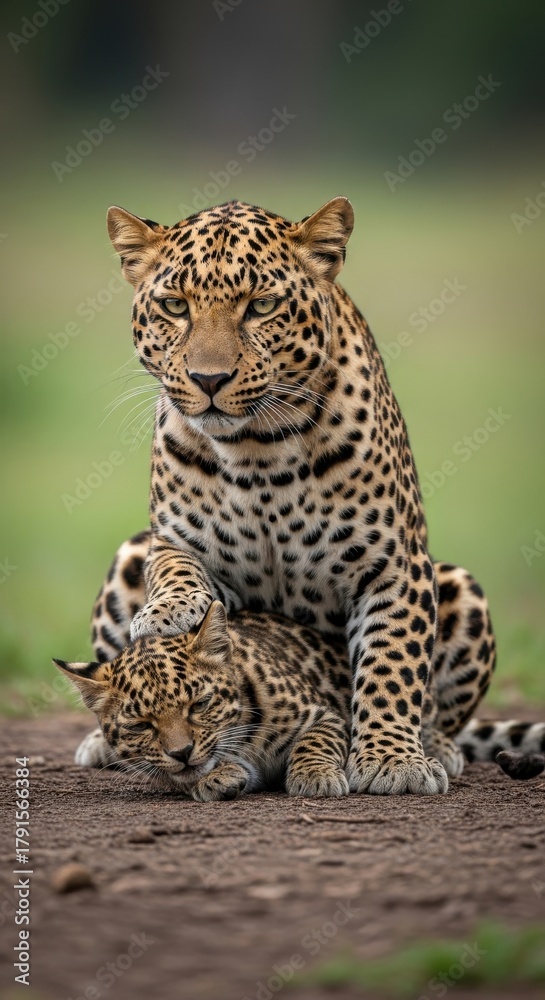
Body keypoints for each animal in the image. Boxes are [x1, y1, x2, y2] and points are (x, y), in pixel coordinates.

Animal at [56, 601, 545, 800]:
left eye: (199, 704)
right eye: (142, 726)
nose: (182, 751)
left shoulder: (326, 715)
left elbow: (313, 742)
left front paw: (315, 778)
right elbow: (172, 776)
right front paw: (212, 778)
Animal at [83, 195, 505, 796]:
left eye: (261, 306)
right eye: (174, 305)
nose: (208, 379)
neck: (256, 448)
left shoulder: (395, 565)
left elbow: (391, 663)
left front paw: (391, 760)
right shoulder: (172, 542)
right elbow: (176, 573)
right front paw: (168, 612)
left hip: (461, 589)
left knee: (442, 712)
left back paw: (438, 746)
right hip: (126, 556)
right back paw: (101, 743)